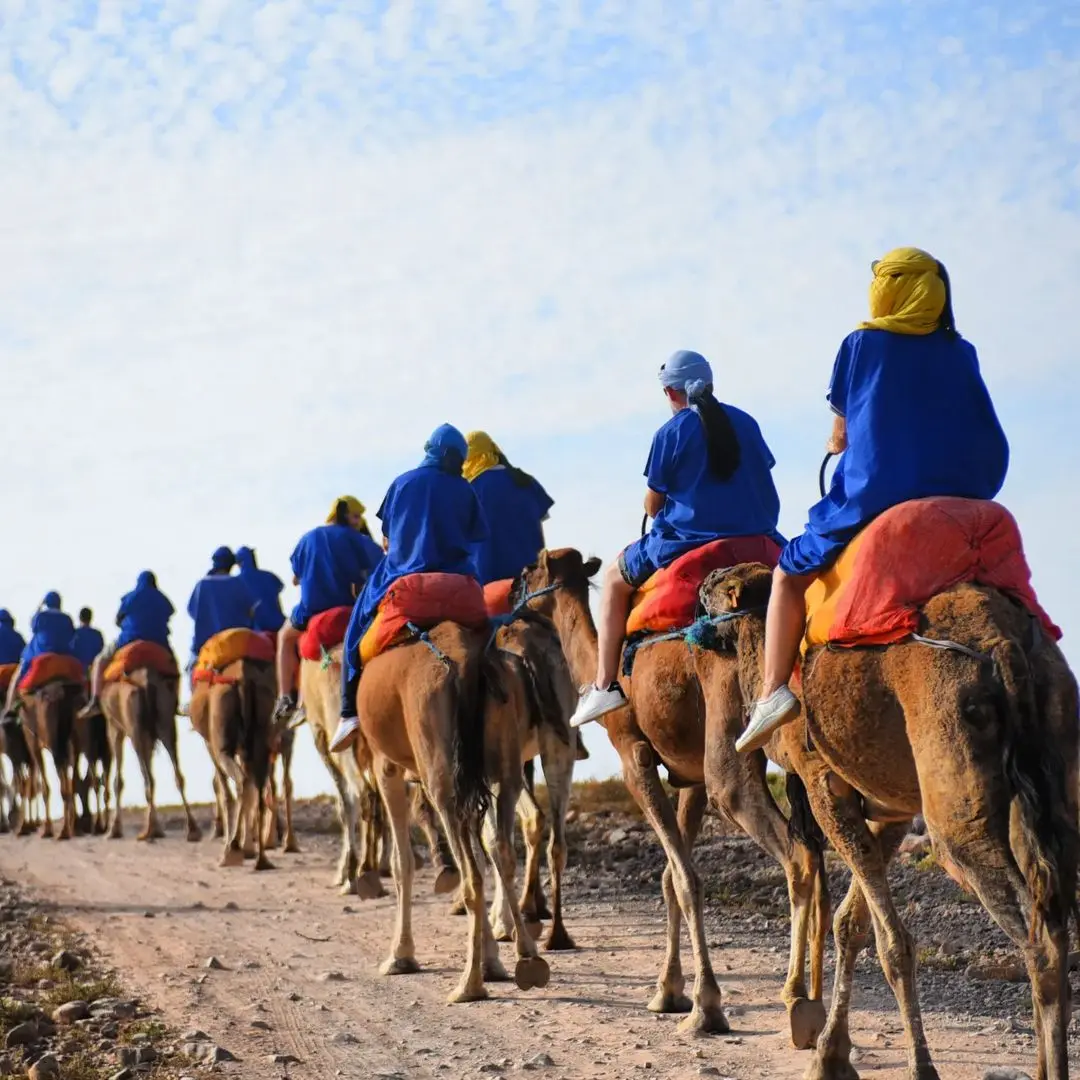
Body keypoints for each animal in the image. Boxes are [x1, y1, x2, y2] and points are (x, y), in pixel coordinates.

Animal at [100, 667, 201, 842]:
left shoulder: (114, 726)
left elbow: (118, 781)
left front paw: (114, 831)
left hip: (135, 728)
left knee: (148, 779)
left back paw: (149, 831)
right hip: (166, 721)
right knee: (177, 775)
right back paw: (192, 830)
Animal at [189, 658, 276, 871]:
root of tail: (243, 679)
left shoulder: (210, 744)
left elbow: (222, 787)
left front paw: (236, 845)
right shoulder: (245, 750)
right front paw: (248, 848)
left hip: (222, 736)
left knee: (241, 781)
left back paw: (231, 851)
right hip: (262, 730)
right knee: (259, 787)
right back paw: (262, 859)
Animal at [356, 622, 550, 1002]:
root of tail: (467, 665)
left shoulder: (386, 765)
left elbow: (403, 863)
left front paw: (400, 956)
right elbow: (485, 849)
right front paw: (493, 961)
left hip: (442, 776)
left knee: (471, 874)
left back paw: (468, 984)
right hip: (502, 765)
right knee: (502, 851)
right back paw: (528, 957)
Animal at [515, 548, 829, 1043]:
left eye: (529, 569)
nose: (512, 591)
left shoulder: (635, 756)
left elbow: (685, 878)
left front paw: (705, 1006)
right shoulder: (689, 776)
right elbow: (668, 876)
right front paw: (668, 990)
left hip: (731, 741)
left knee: (794, 850)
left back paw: (795, 997)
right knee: (817, 853)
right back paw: (819, 1007)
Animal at [701, 562, 1079, 1080]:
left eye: (724, 583)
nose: (704, 581)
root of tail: (1006, 648)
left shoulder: (823, 783)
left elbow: (894, 942)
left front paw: (915, 1064)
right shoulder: (893, 808)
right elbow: (851, 923)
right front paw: (830, 1052)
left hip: (952, 769)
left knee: (1032, 931)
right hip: (1057, 742)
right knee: (1056, 917)